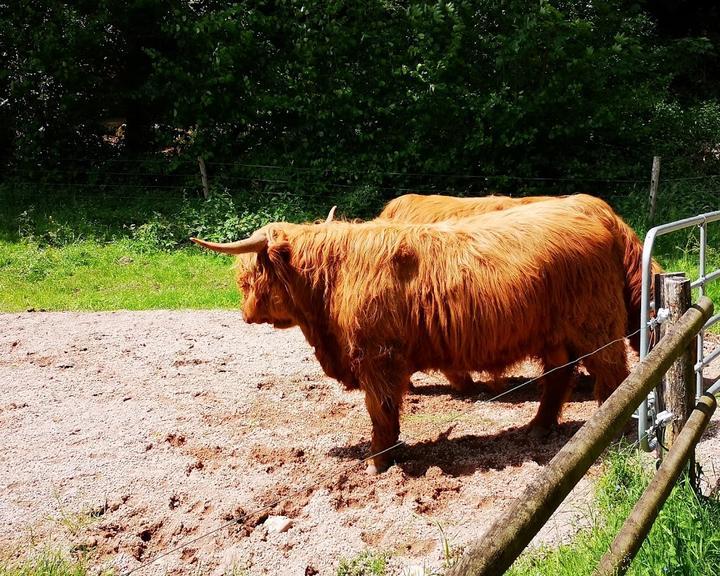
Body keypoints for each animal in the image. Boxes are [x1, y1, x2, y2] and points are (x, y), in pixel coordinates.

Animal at [191, 196, 632, 474]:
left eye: (247, 276)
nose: (245, 313)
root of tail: (595, 214)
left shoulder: (376, 358)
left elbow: (381, 410)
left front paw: (378, 460)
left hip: (594, 326)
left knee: (614, 376)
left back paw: (610, 434)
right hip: (554, 335)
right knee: (560, 375)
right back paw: (538, 427)